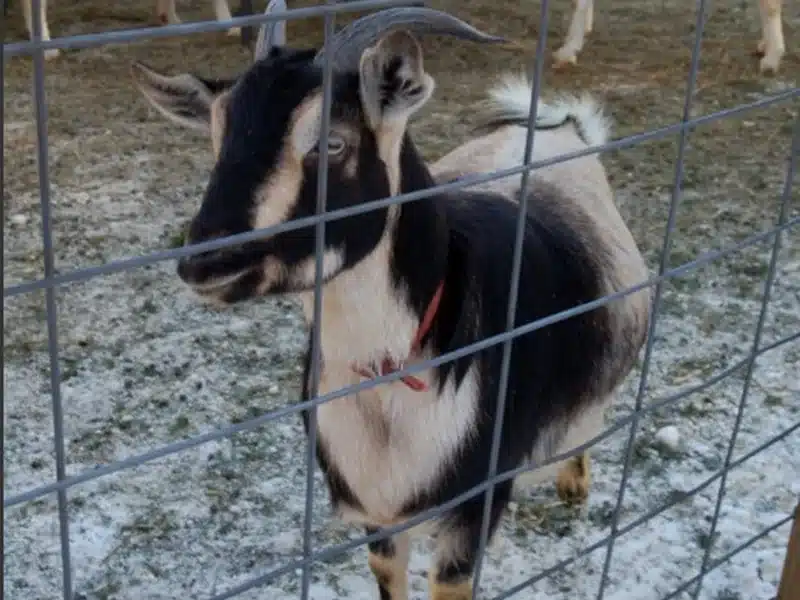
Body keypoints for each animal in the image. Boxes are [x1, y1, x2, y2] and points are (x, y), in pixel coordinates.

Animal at [130, 4, 651, 599]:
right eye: (217, 135)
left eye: (332, 142)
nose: (206, 261)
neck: (390, 375)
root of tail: (556, 127)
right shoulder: (376, 515)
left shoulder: (474, 507)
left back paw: (573, 482)